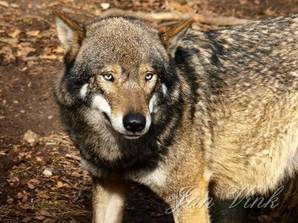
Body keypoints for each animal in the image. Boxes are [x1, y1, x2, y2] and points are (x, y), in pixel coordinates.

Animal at [54, 10, 298, 223]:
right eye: (108, 76)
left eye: (149, 76)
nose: (135, 123)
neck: (123, 155)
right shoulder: (108, 184)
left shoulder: (189, 195)